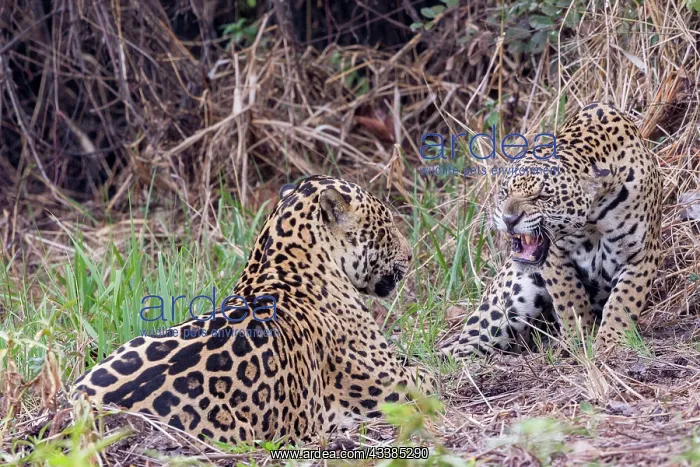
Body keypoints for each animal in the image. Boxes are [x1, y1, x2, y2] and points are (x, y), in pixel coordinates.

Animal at [445, 103, 662, 358]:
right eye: (505, 192)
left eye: (542, 196)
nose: (509, 219)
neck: (593, 216)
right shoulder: (555, 256)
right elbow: (569, 299)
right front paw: (579, 338)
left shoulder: (642, 254)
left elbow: (624, 301)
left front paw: (611, 340)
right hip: (511, 297)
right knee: (465, 344)